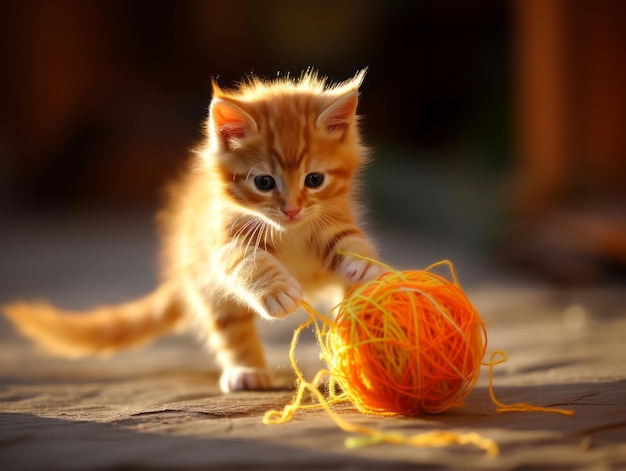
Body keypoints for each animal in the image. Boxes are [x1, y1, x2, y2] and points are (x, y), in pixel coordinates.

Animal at [2, 69, 380, 394]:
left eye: (314, 180)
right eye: (263, 183)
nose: (291, 209)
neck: (288, 231)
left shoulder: (333, 219)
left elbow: (350, 240)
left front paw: (363, 264)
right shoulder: (222, 241)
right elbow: (246, 263)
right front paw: (275, 291)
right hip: (207, 287)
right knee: (230, 329)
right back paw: (246, 372)